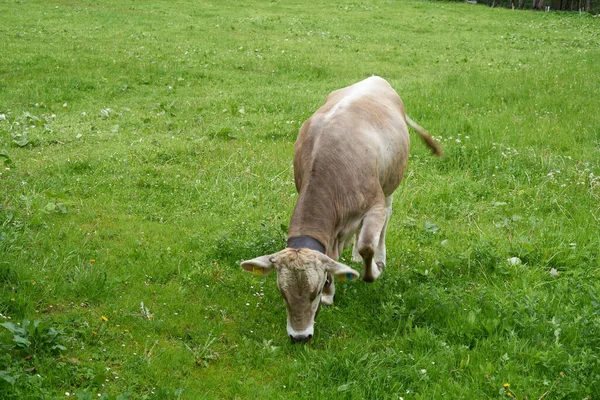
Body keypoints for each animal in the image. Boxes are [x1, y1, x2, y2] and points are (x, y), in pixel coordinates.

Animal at [241, 76, 442, 342]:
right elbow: (334, 256)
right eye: (282, 292)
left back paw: (379, 257)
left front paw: (373, 270)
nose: (299, 336)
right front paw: (332, 291)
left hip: (390, 184)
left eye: (314, 291)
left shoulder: (375, 205)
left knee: (384, 223)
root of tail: (376, 79)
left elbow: (368, 246)